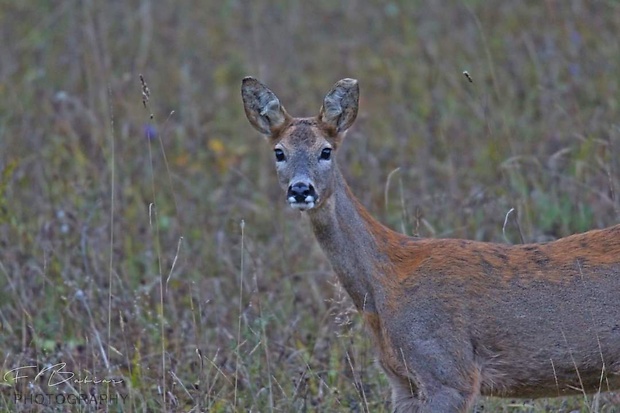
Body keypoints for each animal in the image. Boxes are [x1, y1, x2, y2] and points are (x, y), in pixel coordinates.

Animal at [241, 77, 620, 412]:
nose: (300, 189)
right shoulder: (401, 381)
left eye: (326, 151)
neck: (384, 284)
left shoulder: (448, 372)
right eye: (279, 152)